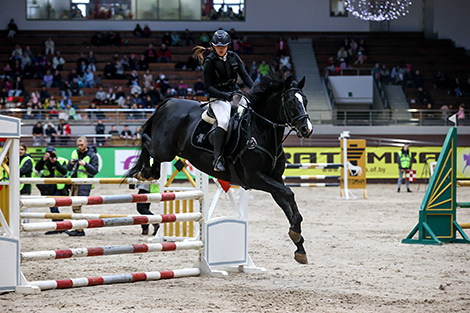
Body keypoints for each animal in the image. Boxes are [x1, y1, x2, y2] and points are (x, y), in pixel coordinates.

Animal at [126, 73, 314, 264]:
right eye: (290, 101)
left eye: (305, 101)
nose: (307, 129)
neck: (260, 131)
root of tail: (169, 101)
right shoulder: (255, 178)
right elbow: (289, 193)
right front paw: (296, 235)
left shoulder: (274, 180)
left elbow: (288, 202)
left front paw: (298, 244)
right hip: (164, 150)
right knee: (145, 139)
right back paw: (144, 171)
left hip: (167, 151)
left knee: (151, 151)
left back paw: (149, 172)